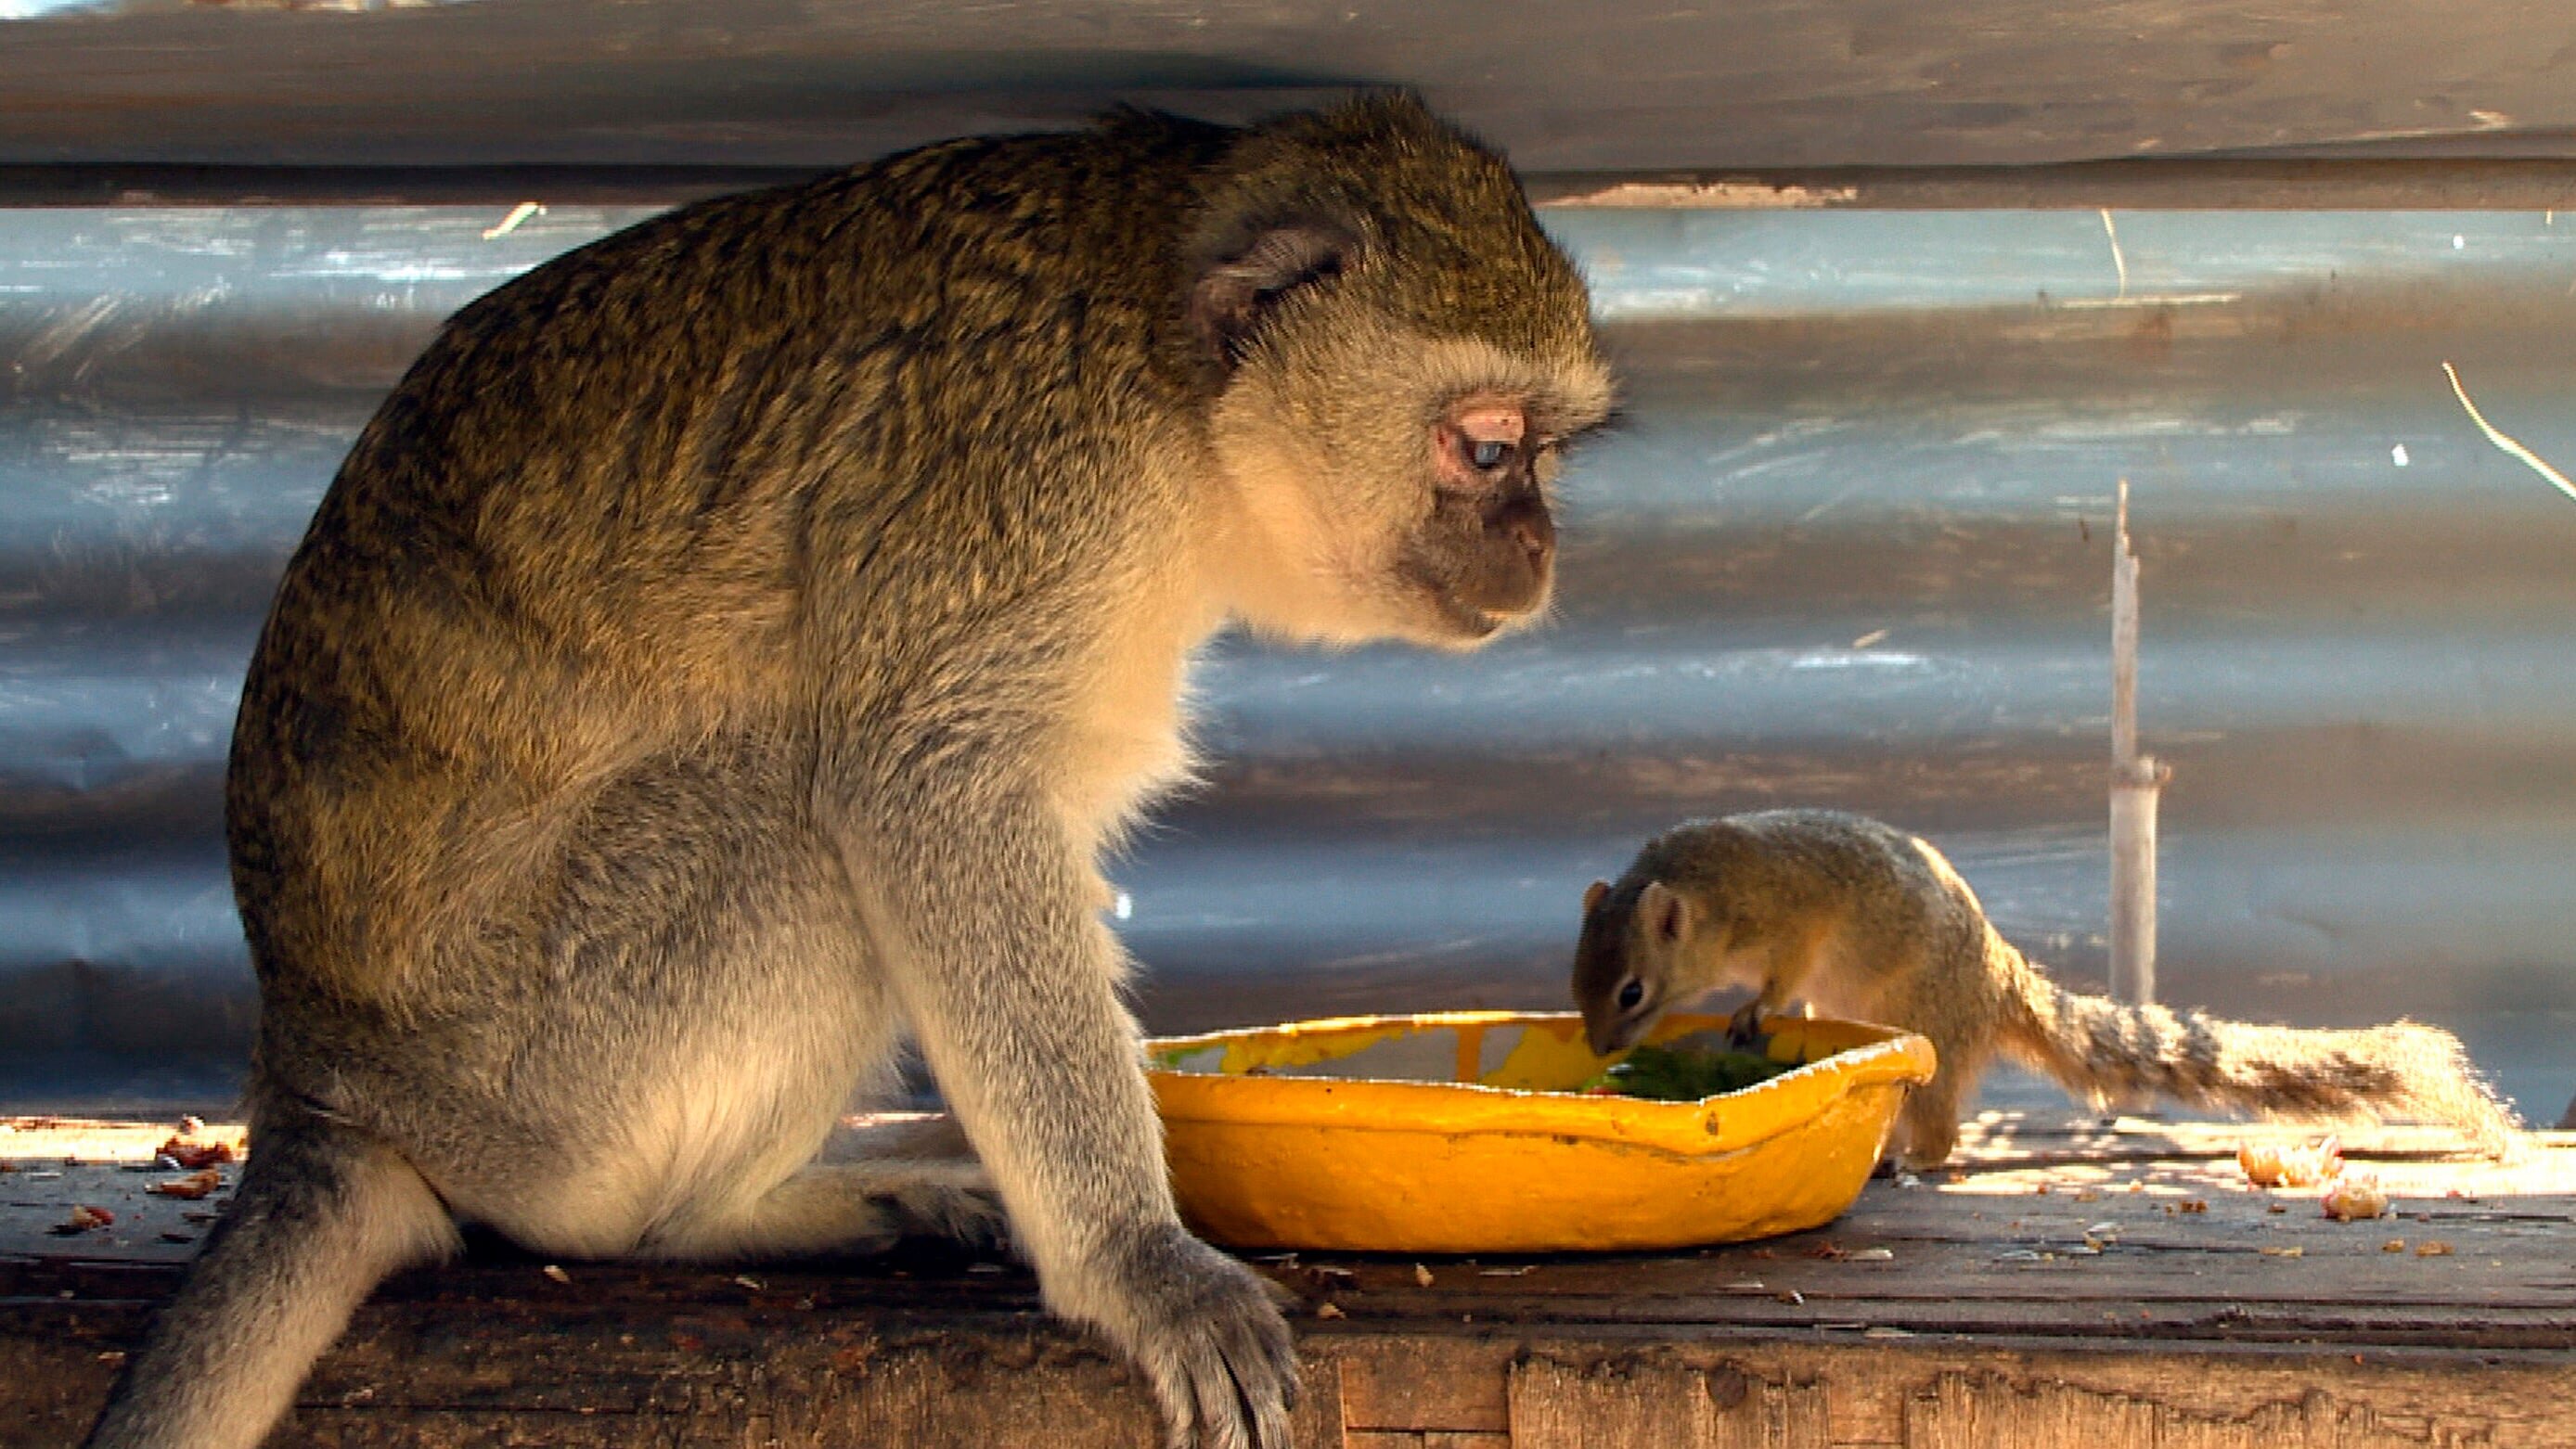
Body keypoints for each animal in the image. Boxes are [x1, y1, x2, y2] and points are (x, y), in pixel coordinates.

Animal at [90, 93, 1607, 1449]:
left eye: (1541, 454)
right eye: (1485, 447)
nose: (1536, 547)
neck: (1166, 385)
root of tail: (317, 1078)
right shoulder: (1021, 491)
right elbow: (925, 789)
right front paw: (1136, 1259)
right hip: (537, 1079)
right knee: (787, 826)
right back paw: (693, 1220)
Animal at [1565, 813, 2514, 1173]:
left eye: (1633, 991)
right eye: (1578, 981)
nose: (1600, 1050)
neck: (1706, 886)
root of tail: (1999, 979)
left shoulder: (1790, 920)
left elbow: (1784, 975)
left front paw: (1758, 1010)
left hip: (1929, 1030)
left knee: (1940, 1127)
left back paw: (1911, 1161)